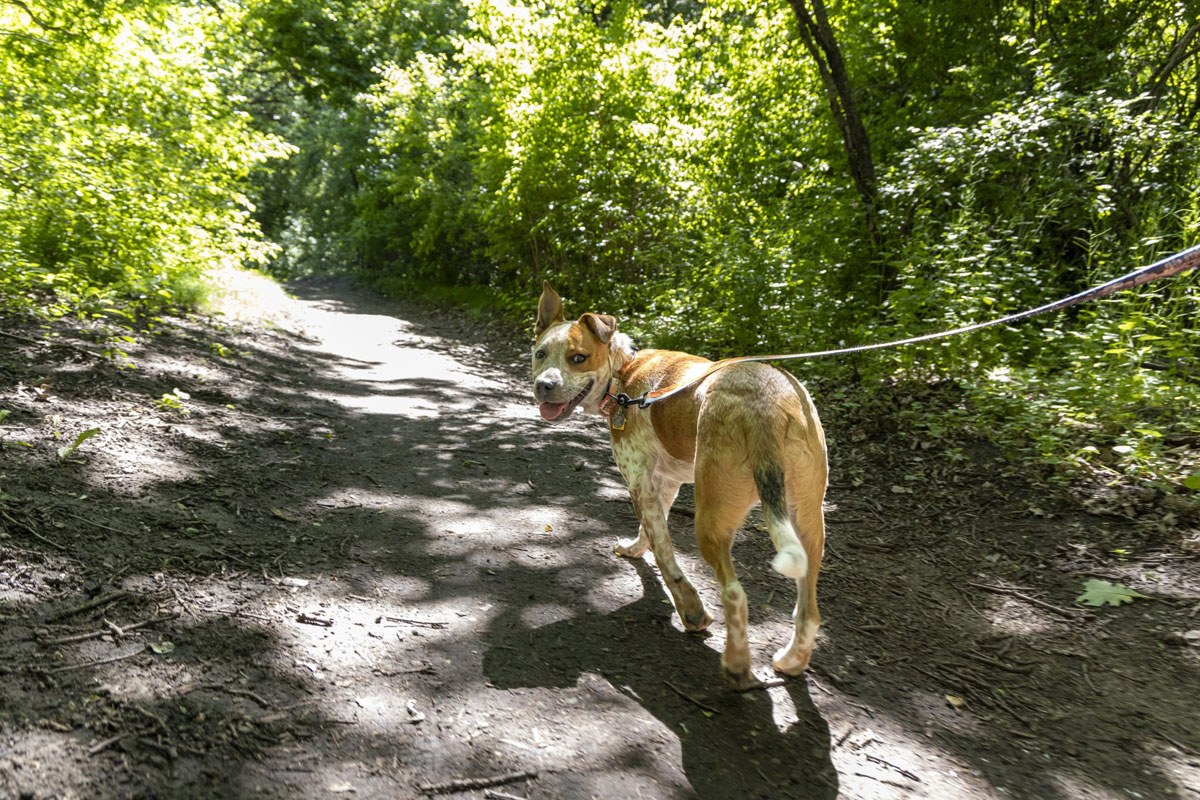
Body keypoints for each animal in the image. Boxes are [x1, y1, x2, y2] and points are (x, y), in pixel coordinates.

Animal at [530, 284, 830, 690]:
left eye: (579, 358)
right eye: (540, 354)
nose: (544, 386)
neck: (623, 374)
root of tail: (765, 405)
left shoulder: (640, 481)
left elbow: (665, 554)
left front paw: (690, 610)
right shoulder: (665, 483)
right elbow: (649, 533)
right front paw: (634, 549)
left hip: (712, 520)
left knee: (735, 595)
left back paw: (736, 664)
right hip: (808, 522)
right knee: (809, 610)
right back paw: (792, 661)